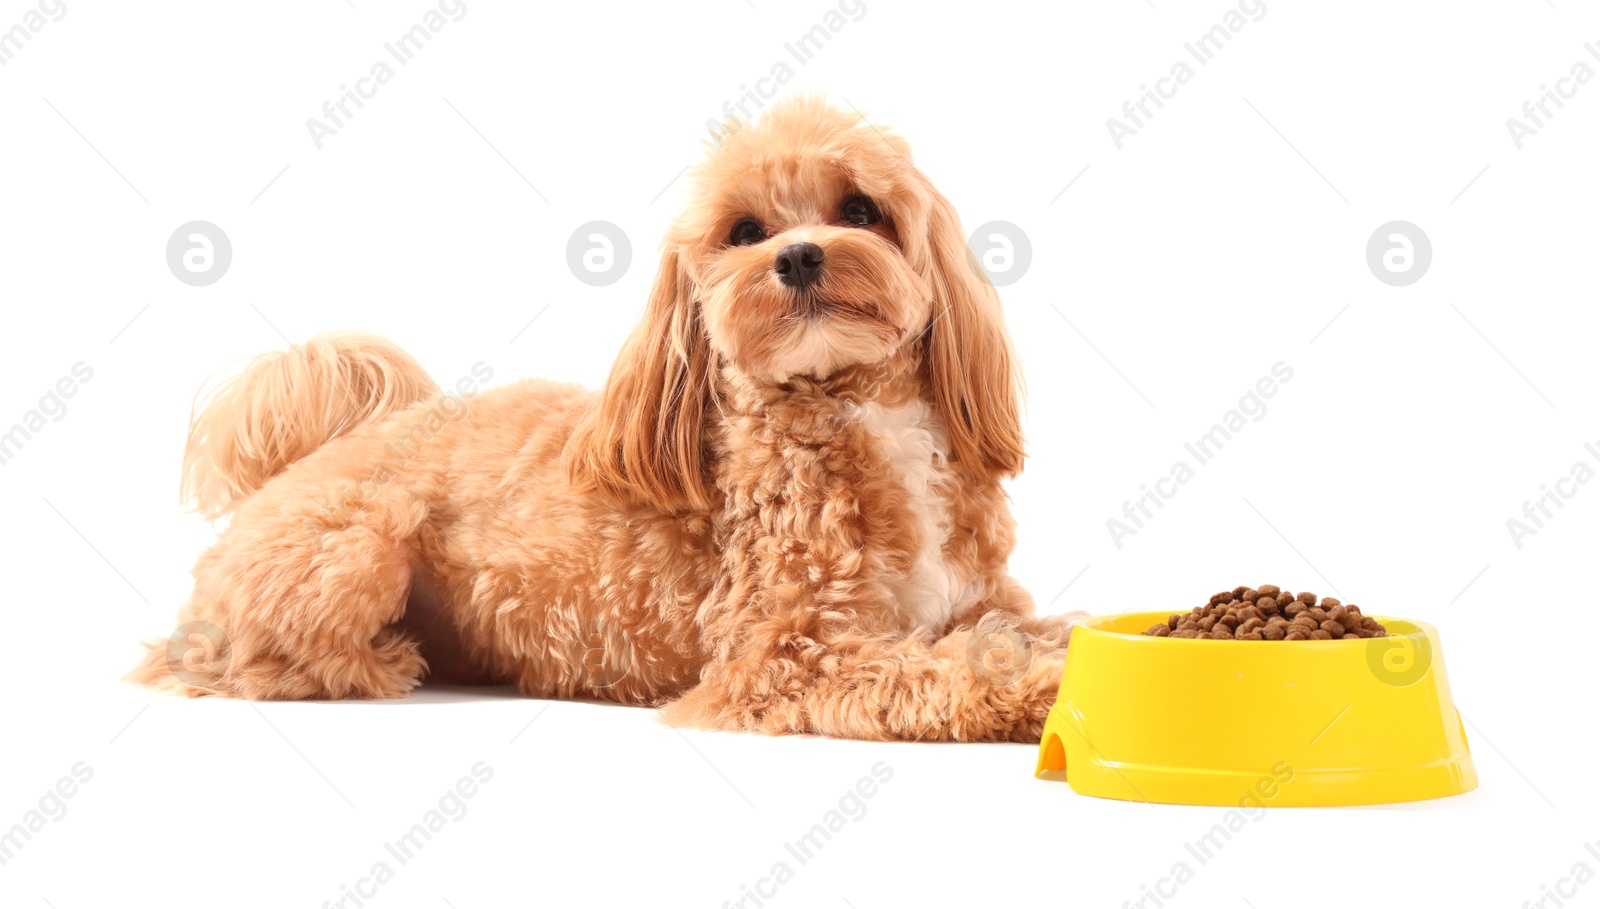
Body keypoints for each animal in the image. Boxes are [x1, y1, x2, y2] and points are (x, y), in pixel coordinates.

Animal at [131, 96, 1088, 742]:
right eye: (744, 231)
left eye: (861, 209)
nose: (799, 256)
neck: (851, 405)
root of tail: (310, 456)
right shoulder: (785, 658)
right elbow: (950, 667)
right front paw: (1045, 692)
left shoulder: (974, 599)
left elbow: (1032, 626)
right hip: (360, 545)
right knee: (227, 662)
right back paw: (378, 663)